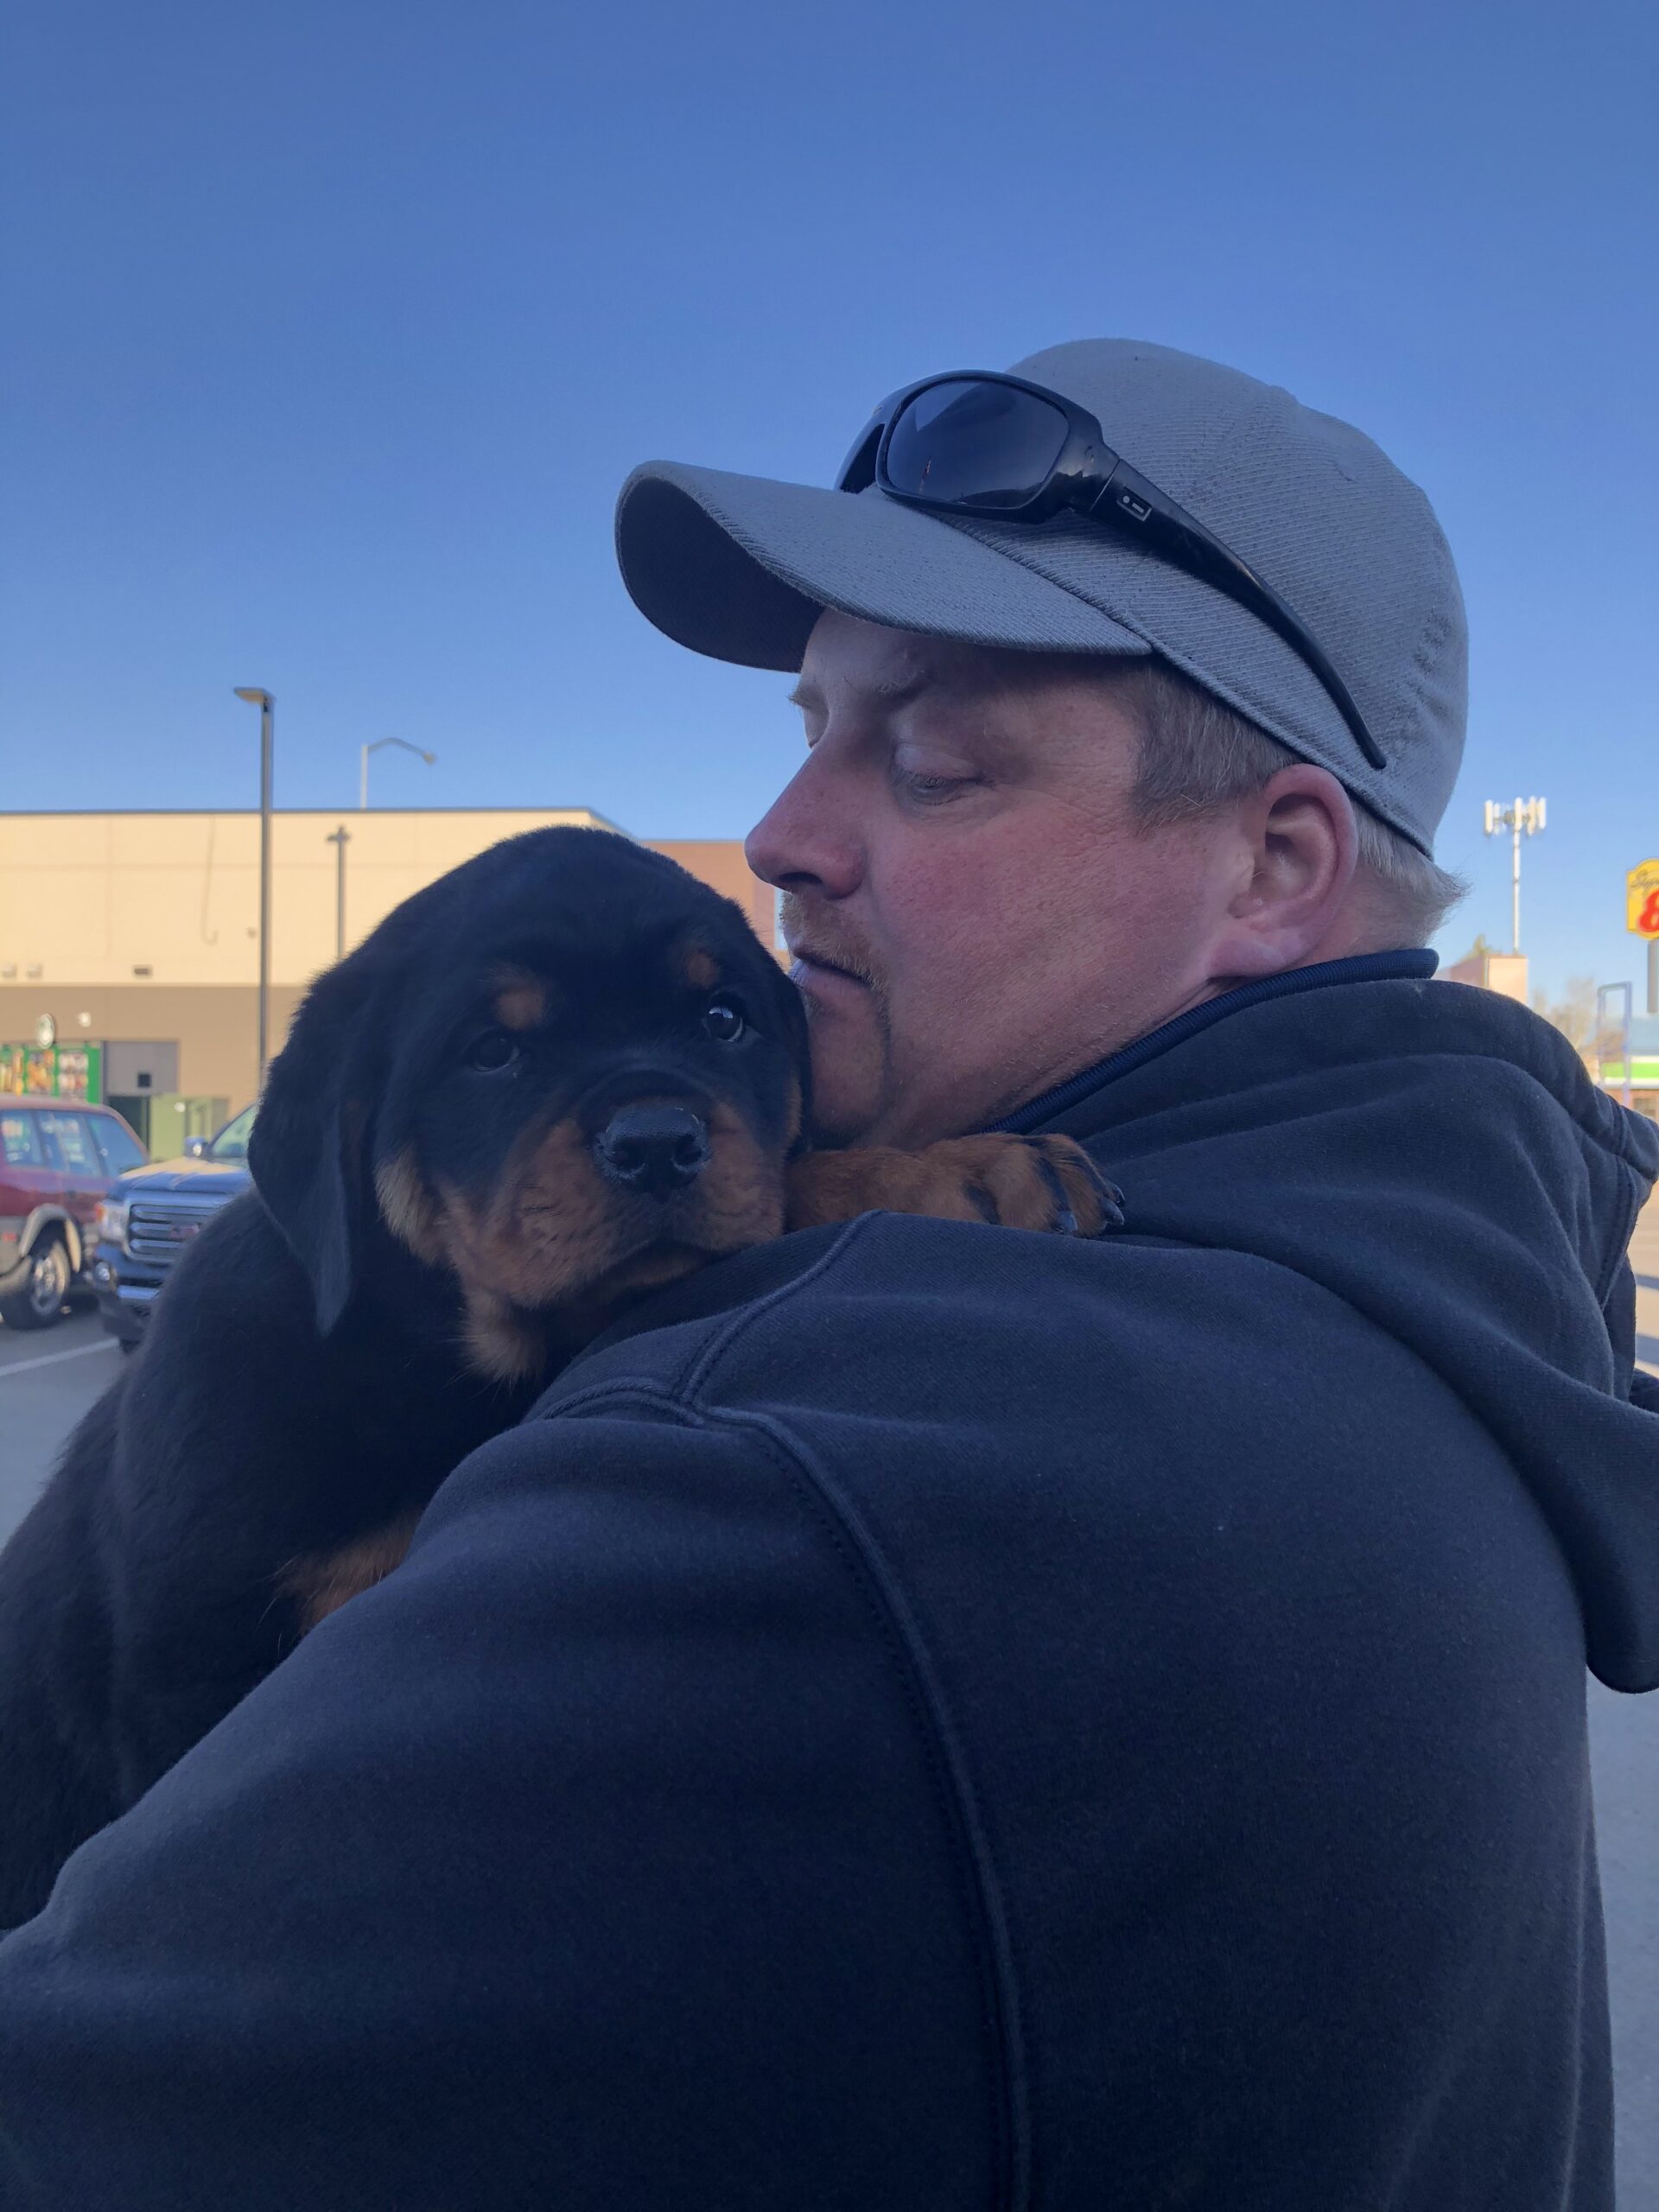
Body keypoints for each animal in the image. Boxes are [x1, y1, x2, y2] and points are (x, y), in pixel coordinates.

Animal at [0, 827, 1123, 1920]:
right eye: (492, 1052)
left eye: (724, 1020)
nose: (660, 1143)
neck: (442, 1361)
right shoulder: (187, 1663)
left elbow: (788, 1174)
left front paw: (952, 1166)